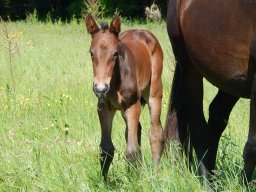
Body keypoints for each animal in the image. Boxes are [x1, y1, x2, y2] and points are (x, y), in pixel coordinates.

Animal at [85, 15, 164, 180]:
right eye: (91, 53)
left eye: (115, 53)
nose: (100, 88)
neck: (114, 82)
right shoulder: (104, 107)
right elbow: (106, 148)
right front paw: (104, 181)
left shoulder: (132, 105)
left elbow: (132, 150)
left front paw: (136, 181)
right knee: (134, 131)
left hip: (154, 93)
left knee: (155, 132)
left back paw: (155, 174)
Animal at [165, 0, 256, 182]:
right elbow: (253, 144)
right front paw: (245, 184)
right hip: (190, 70)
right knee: (199, 129)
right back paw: (208, 182)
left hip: (232, 81)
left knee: (216, 116)